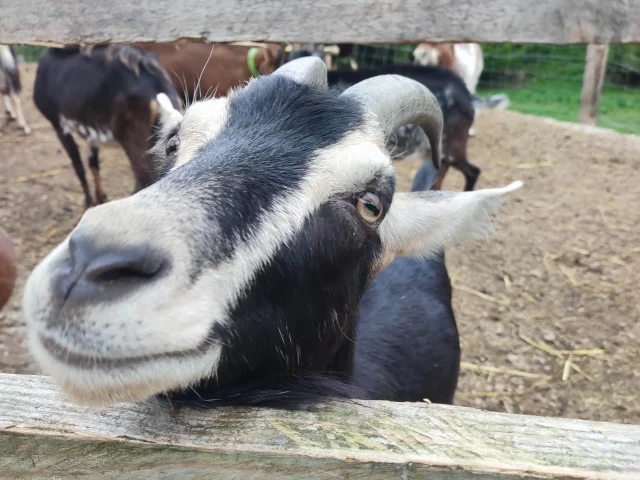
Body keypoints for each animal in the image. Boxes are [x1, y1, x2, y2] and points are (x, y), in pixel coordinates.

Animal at [34, 45, 181, 208]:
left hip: (136, 143)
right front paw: (100, 197)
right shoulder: (92, 133)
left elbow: (78, 166)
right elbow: (93, 162)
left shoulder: (59, 125)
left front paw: (89, 203)